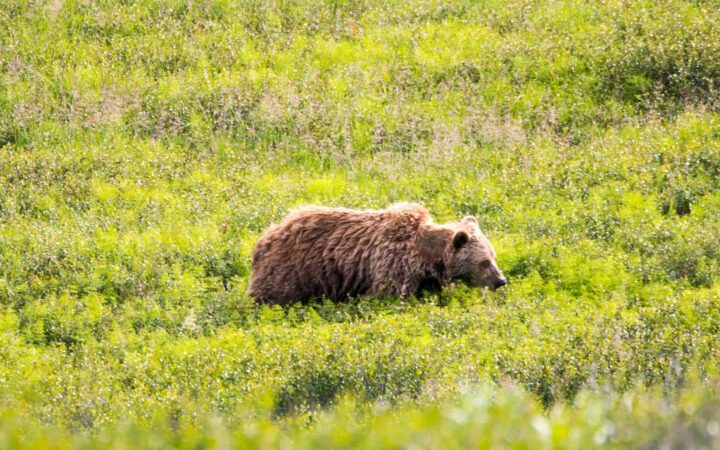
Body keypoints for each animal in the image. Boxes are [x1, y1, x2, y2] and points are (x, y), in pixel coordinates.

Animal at [248, 203, 507, 305]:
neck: (426, 257)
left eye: (493, 257)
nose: (501, 280)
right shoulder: (394, 263)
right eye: (484, 262)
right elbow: (383, 295)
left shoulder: (425, 277)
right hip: (293, 268)